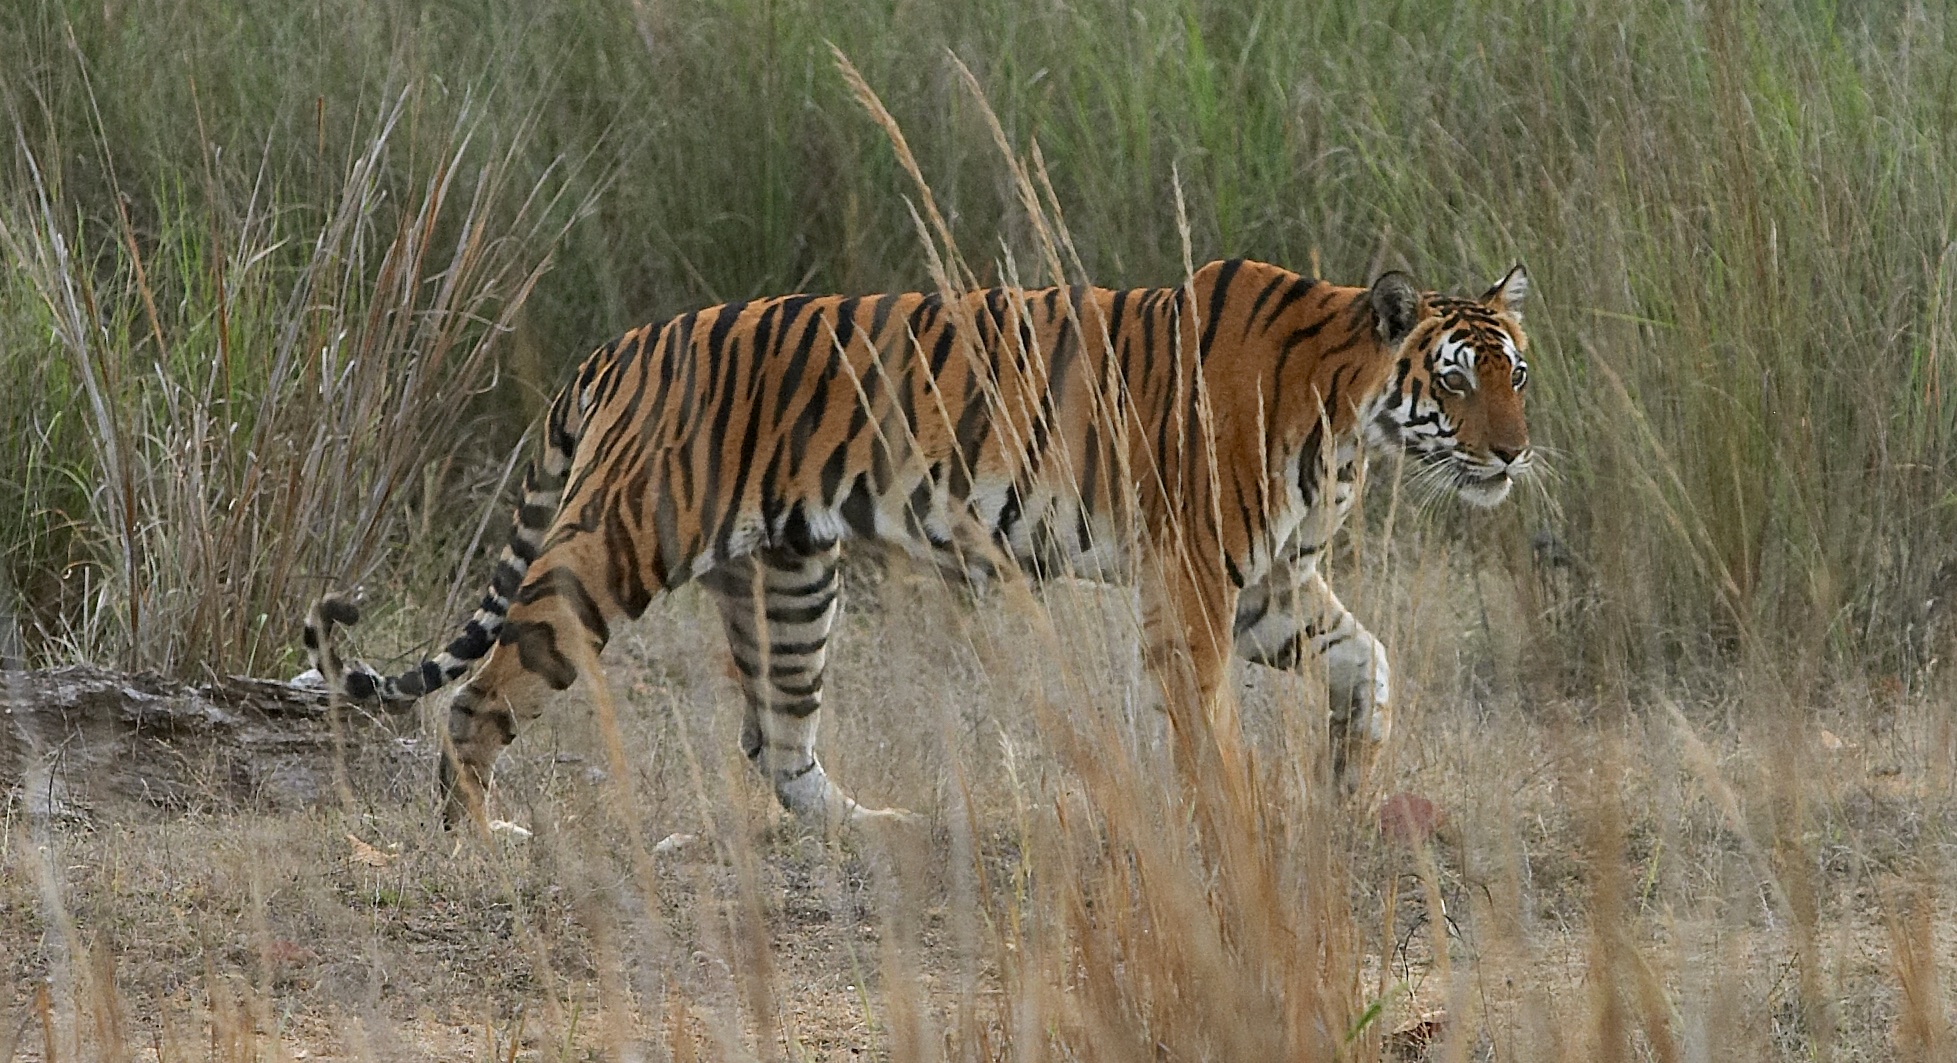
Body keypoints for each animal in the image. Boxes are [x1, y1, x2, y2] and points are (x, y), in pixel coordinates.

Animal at [301, 260, 1526, 830]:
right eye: (1457, 381)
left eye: (1516, 369)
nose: (1513, 454)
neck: (1351, 417)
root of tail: (626, 342)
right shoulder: (1193, 577)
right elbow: (1204, 718)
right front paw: (1233, 816)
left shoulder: (1271, 582)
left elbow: (1368, 661)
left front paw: (1350, 779)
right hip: (614, 548)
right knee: (483, 693)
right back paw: (475, 837)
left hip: (793, 578)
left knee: (776, 740)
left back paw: (872, 830)